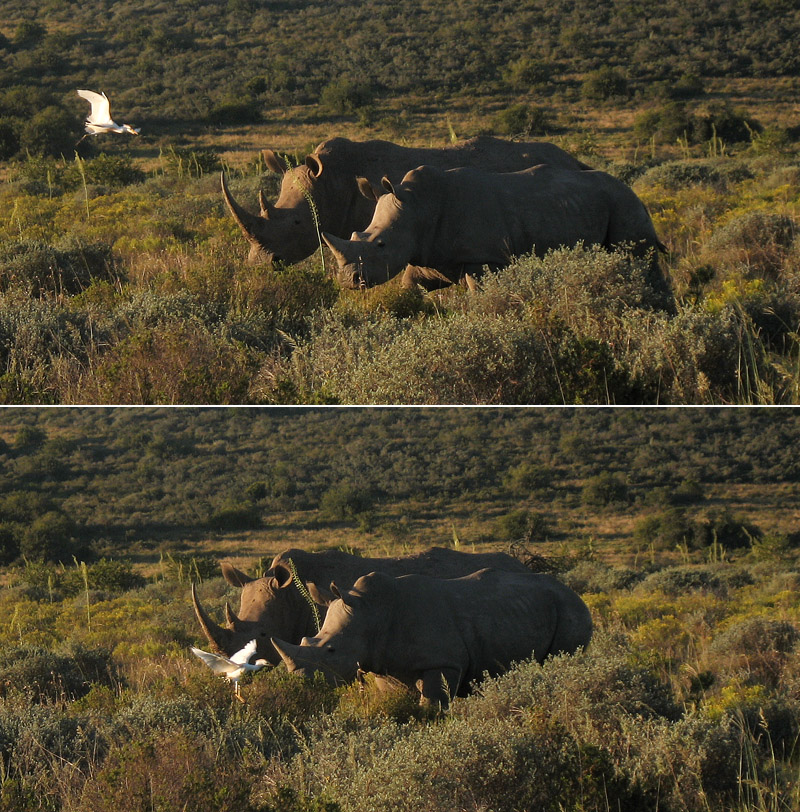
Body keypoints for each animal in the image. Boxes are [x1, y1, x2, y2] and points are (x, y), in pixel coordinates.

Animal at [272, 568, 592, 707]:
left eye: (331, 651)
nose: (300, 682)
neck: (371, 612)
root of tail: (574, 592)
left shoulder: (444, 661)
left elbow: (432, 704)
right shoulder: (385, 666)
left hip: (570, 609)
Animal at [322, 163, 671, 297]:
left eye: (380, 245)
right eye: (355, 236)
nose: (349, 281)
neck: (418, 207)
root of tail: (634, 191)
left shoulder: (483, 258)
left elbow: (481, 295)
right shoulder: (430, 256)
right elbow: (409, 290)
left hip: (624, 204)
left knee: (641, 260)